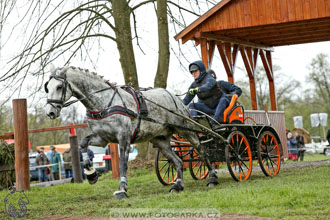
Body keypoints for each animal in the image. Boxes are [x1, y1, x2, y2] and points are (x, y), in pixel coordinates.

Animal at [44, 64, 219, 199]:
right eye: (47, 87)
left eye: (59, 87)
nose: (50, 112)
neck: (104, 103)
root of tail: (174, 97)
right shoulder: (102, 138)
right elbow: (83, 143)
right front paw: (91, 173)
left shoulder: (124, 137)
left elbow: (122, 164)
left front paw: (122, 188)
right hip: (160, 140)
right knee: (178, 161)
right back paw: (177, 186)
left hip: (185, 130)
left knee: (202, 151)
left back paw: (212, 178)